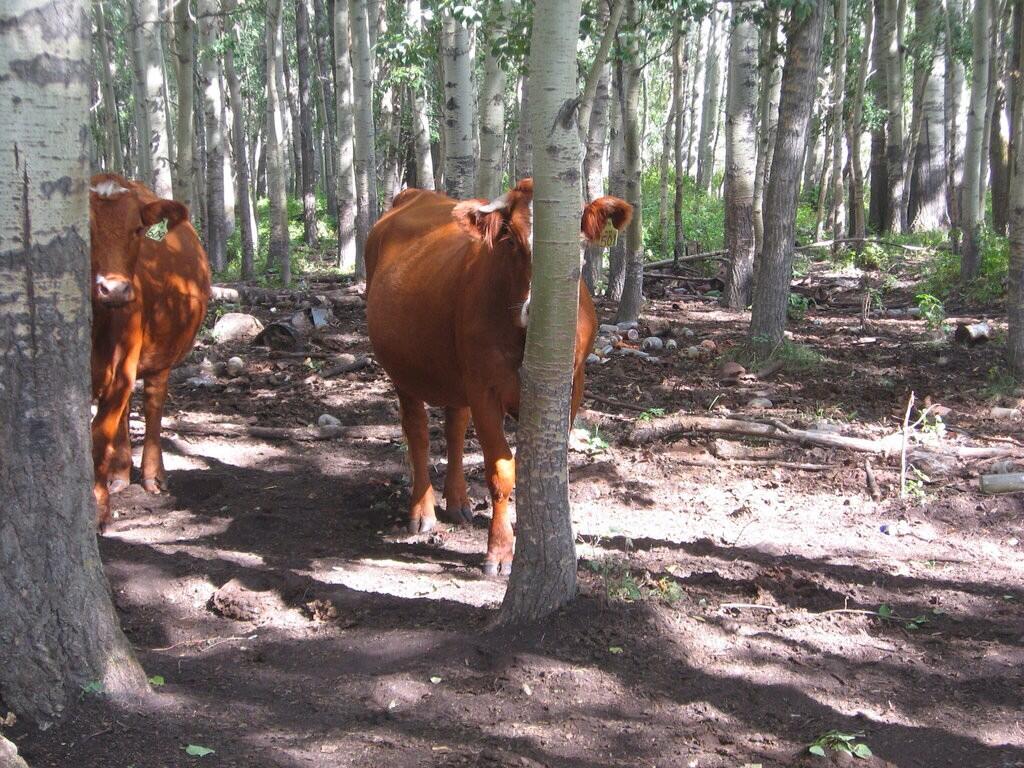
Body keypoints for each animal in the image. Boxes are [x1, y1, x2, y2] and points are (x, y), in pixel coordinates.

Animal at [89, 173, 211, 530]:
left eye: (137, 229)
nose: (115, 289)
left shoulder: (121, 371)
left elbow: (99, 435)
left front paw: (98, 508)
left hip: (162, 358)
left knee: (153, 406)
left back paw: (152, 477)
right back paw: (119, 475)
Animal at [365, 178, 632, 575]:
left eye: (580, 244)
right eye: (511, 240)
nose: (535, 310)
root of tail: (413, 194)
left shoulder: (572, 385)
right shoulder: (484, 388)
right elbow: (502, 471)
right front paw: (501, 550)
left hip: (455, 373)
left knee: (455, 426)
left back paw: (457, 502)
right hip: (403, 369)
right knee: (417, 433)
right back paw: (423, 511)